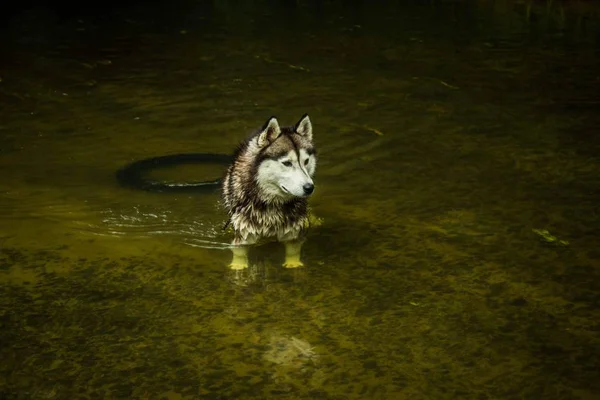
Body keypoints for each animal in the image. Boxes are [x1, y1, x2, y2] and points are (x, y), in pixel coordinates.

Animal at [223, 114, 316, 270]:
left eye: (306, 161)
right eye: (287, 163)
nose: (309, 187)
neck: (271, 202)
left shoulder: (292, 229)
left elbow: (293, 248)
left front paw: (293, 263)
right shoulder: (244, 229)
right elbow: (239, 251)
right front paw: (238, 265)